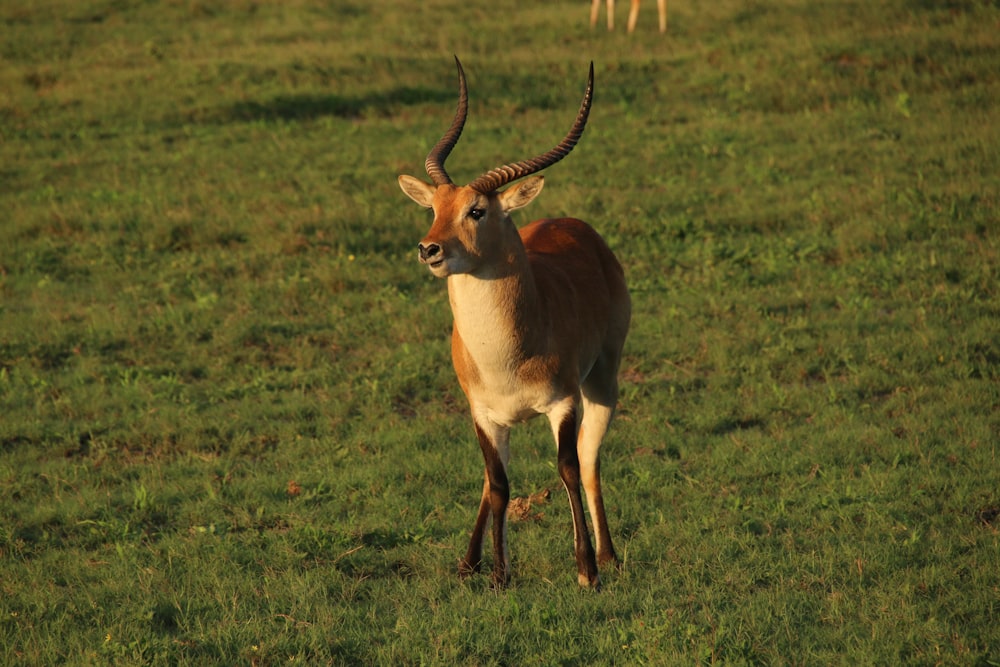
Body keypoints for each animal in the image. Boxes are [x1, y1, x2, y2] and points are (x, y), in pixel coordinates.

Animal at [394, 58, 628, 588]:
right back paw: (468, 562)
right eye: (434, 208)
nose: (428, 249)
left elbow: (567, 467)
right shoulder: (482, 413)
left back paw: (607, 555)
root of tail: (574, 224)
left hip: (603, 381)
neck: (510, 354)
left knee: (588, 459)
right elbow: (498, 484)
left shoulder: (563, 403)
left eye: (477, 210)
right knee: (492, 478)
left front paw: (585, 571)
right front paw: (499, 576)